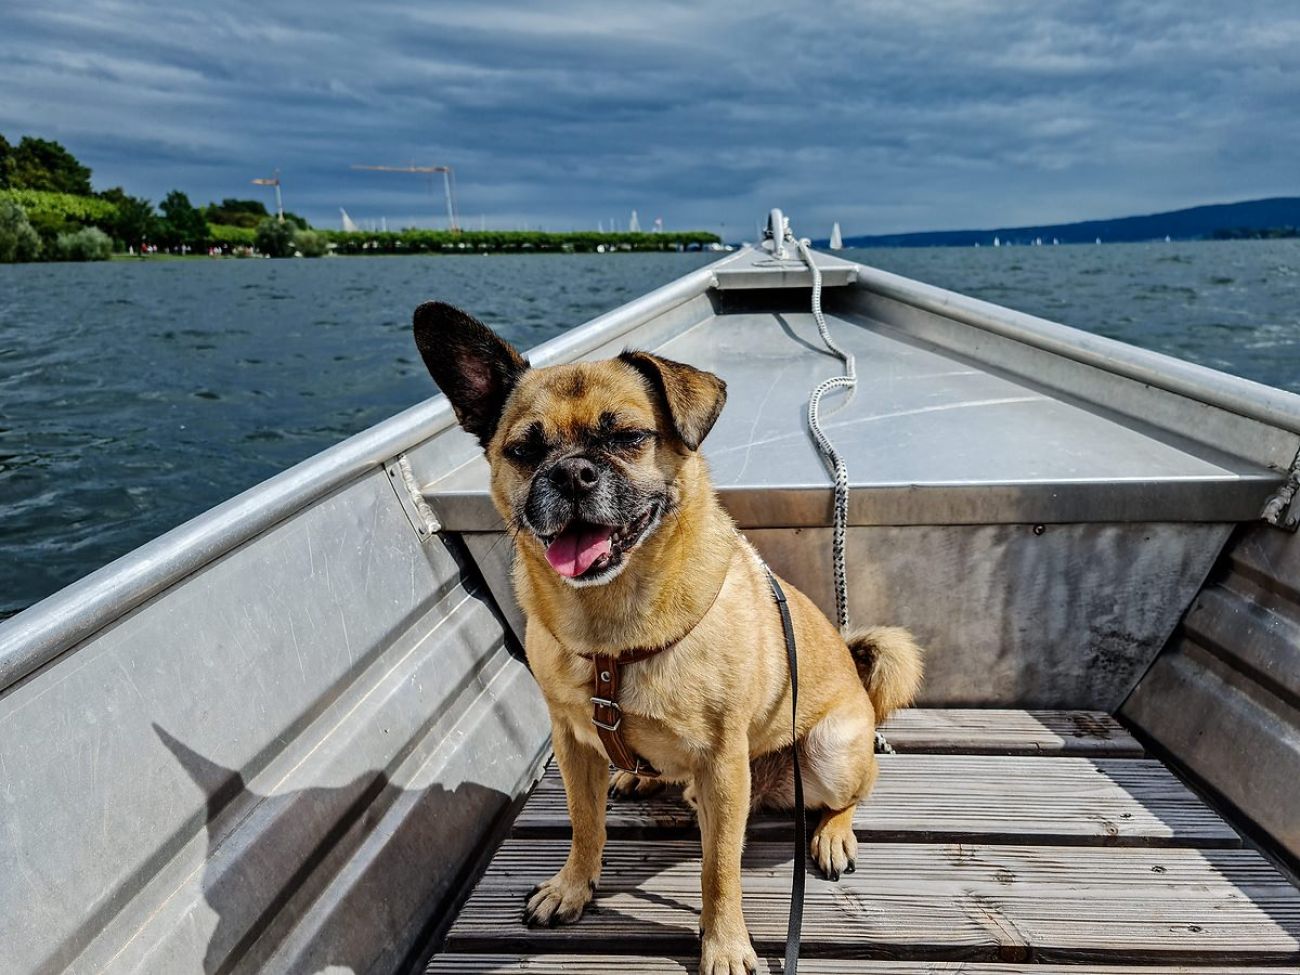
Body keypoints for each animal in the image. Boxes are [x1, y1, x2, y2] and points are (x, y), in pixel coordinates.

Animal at [410, 304, 920, 975]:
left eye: (629, 438)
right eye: (524, 451)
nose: (572, 473)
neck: (610, 626)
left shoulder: (724, 765)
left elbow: (719, 872)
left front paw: (724, 945)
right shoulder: (572, 745)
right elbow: (584, 825)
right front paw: (572, 887)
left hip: (829, 753)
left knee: (853, 791)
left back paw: (833, 833)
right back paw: (642, 776)